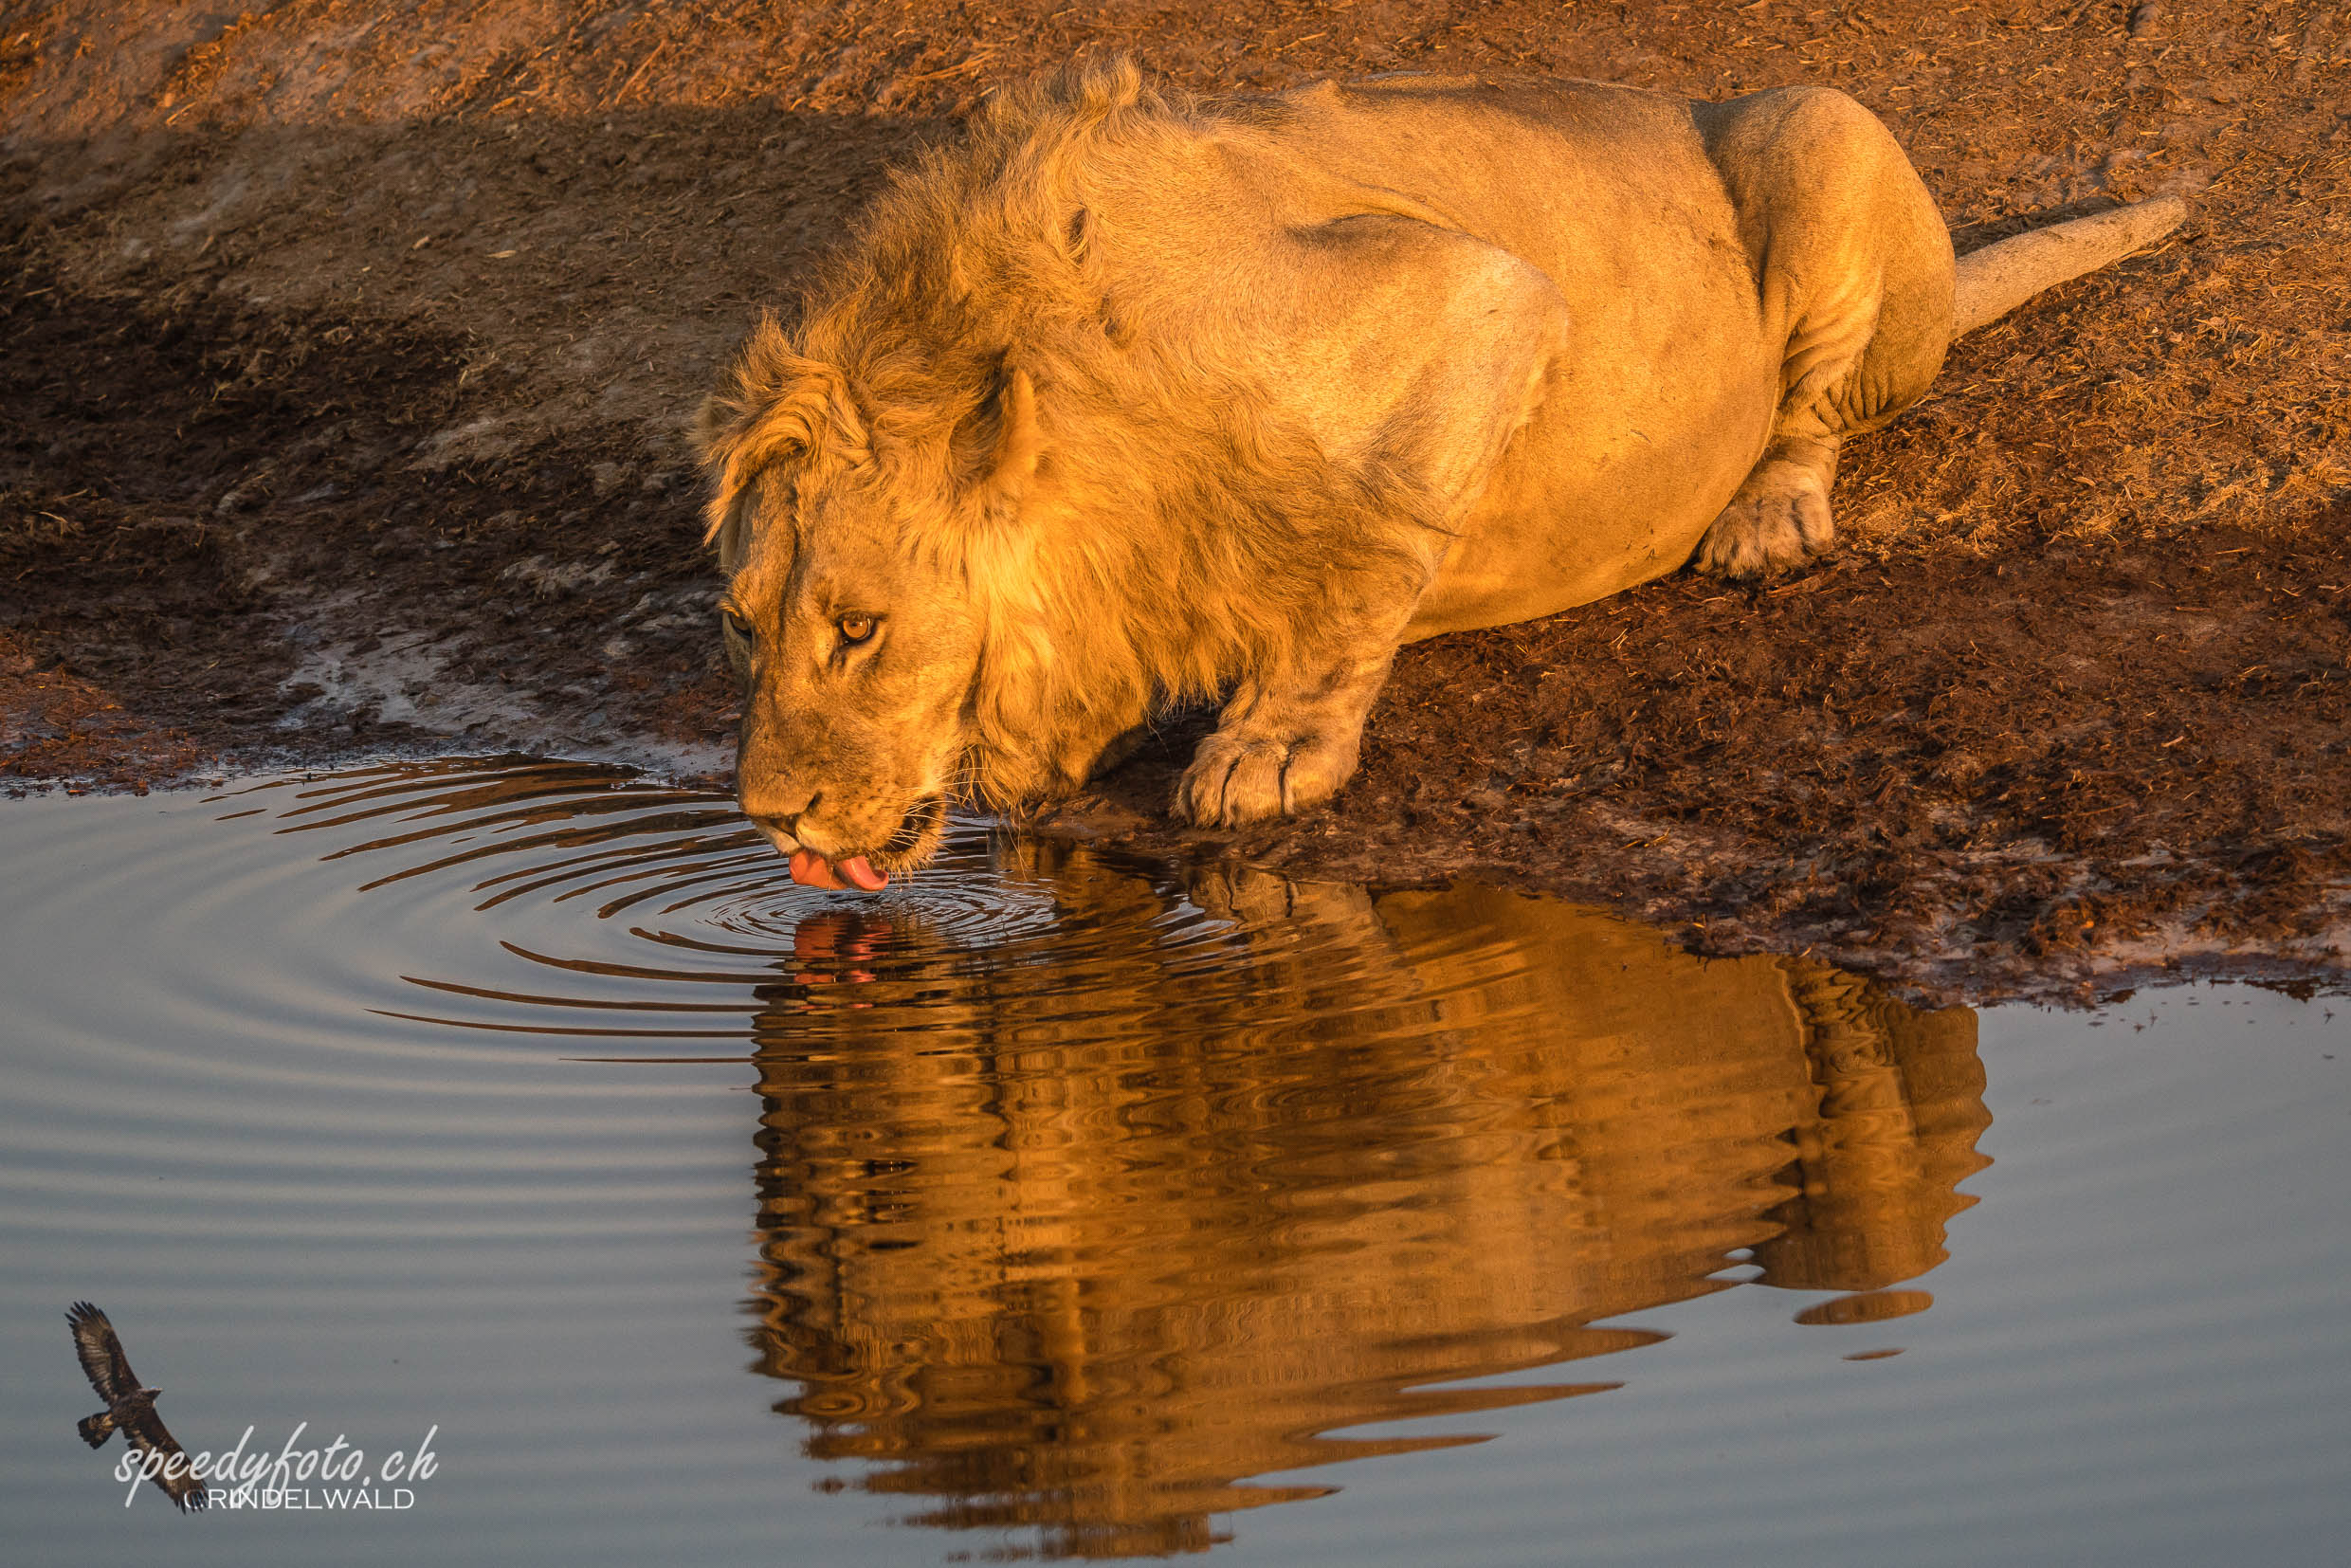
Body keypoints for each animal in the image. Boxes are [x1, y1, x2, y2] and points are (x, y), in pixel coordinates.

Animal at [701, 55, 2181, 888]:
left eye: (857, 629)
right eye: (741, 629)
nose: (767, 818)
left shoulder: (1481, 298)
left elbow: (1359, 565)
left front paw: (1270, 748)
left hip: (1815, 125)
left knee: (1811, 408)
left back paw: (1768, 513)